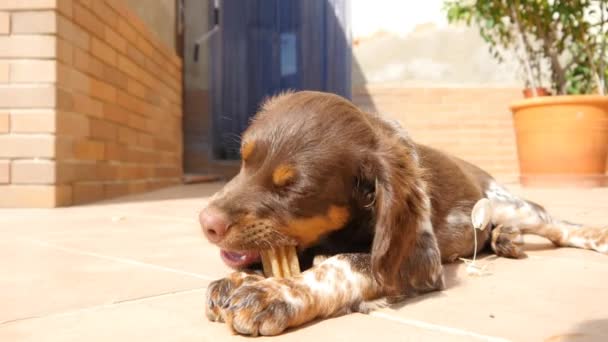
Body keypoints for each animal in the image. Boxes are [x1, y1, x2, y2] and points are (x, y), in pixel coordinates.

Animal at [201, 90, 608, 336]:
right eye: (243, 162)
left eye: (295, 189)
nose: (207, 224)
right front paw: (241, 279)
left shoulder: (419, 262)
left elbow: (343, 264)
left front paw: (277, 294)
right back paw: (503, 239)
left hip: (511, 204)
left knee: (556, 224)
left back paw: (593, 237)